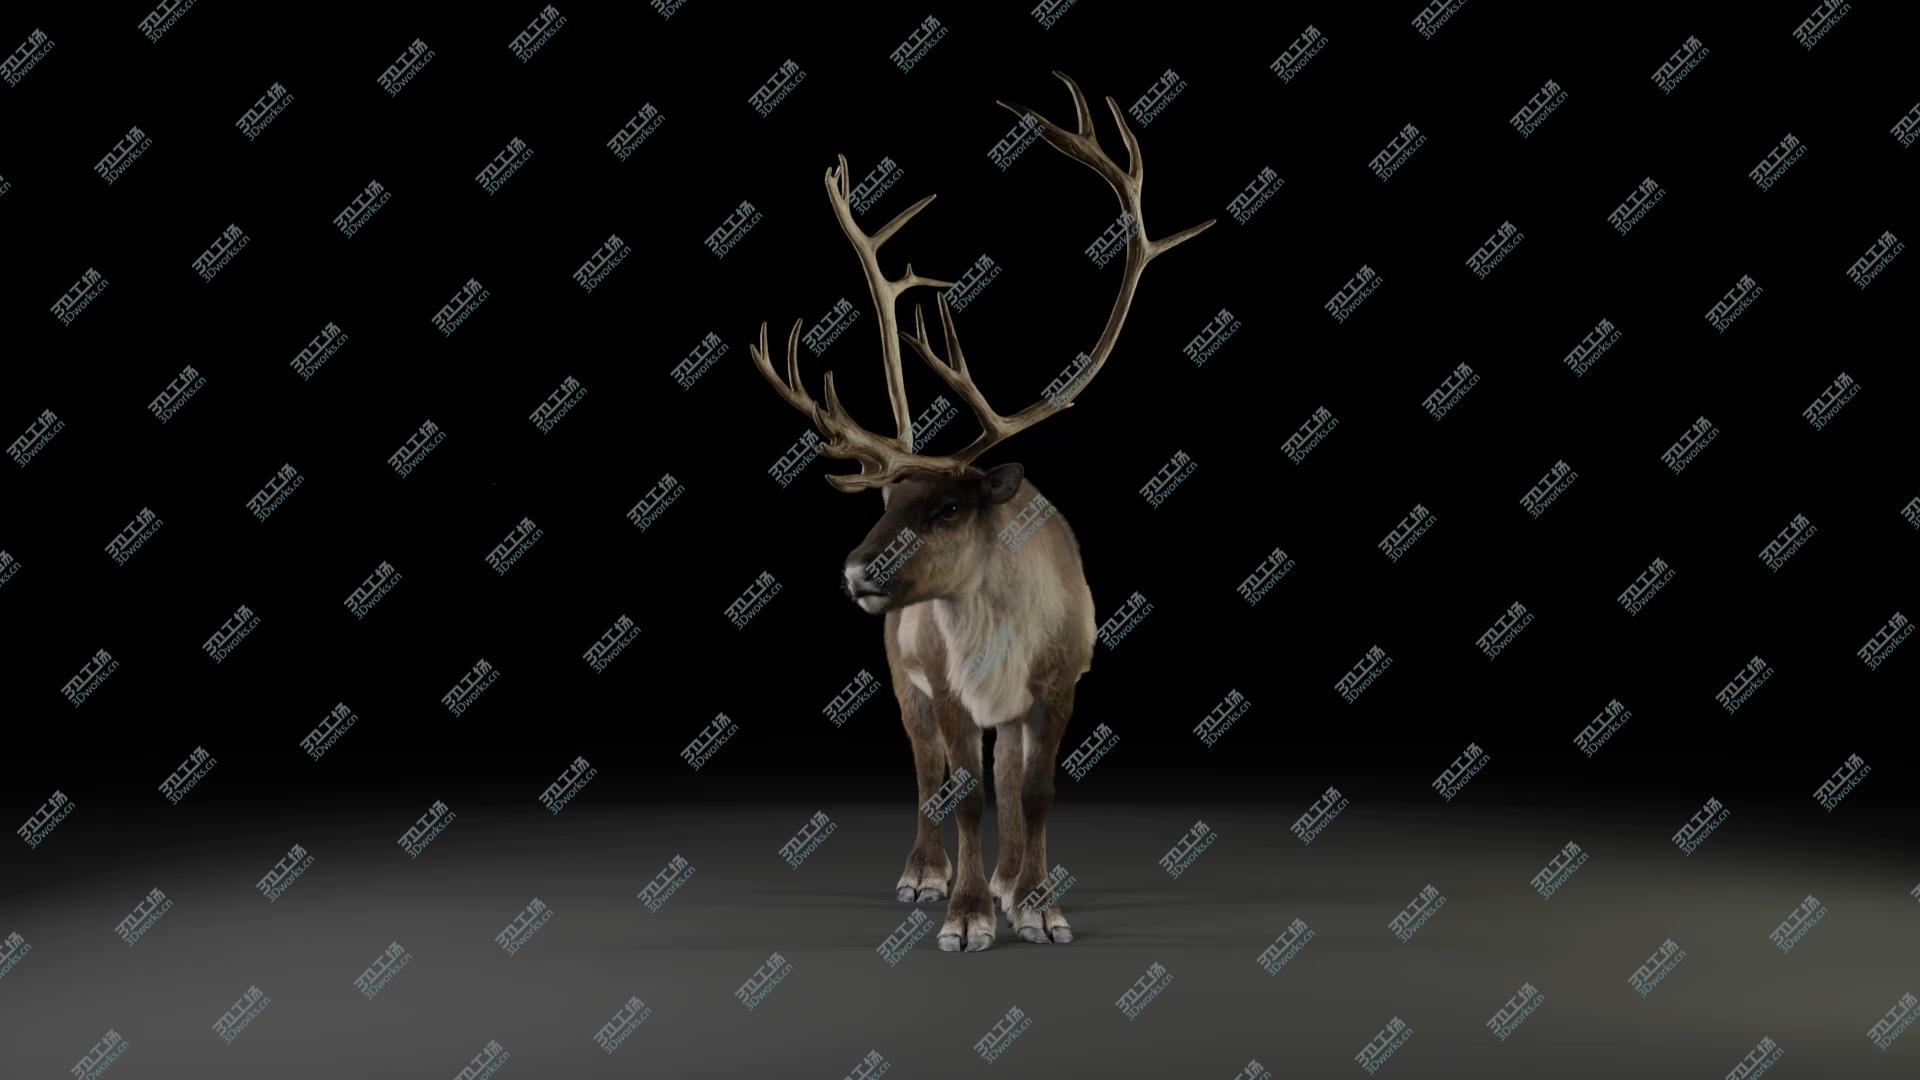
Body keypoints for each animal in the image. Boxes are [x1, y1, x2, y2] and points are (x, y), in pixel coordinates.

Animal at [746, 71, 1213, 952]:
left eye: (950, 506)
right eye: (888, 498)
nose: (855, 570)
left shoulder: (1060, 684)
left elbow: (1032, 793)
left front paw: (1038, 905)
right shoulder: (947, 684)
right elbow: (961, 793)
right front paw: (964, 916)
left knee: (1006, 773)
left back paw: (1008, 880)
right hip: (905, 676)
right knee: (931, 771)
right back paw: (931, 875)